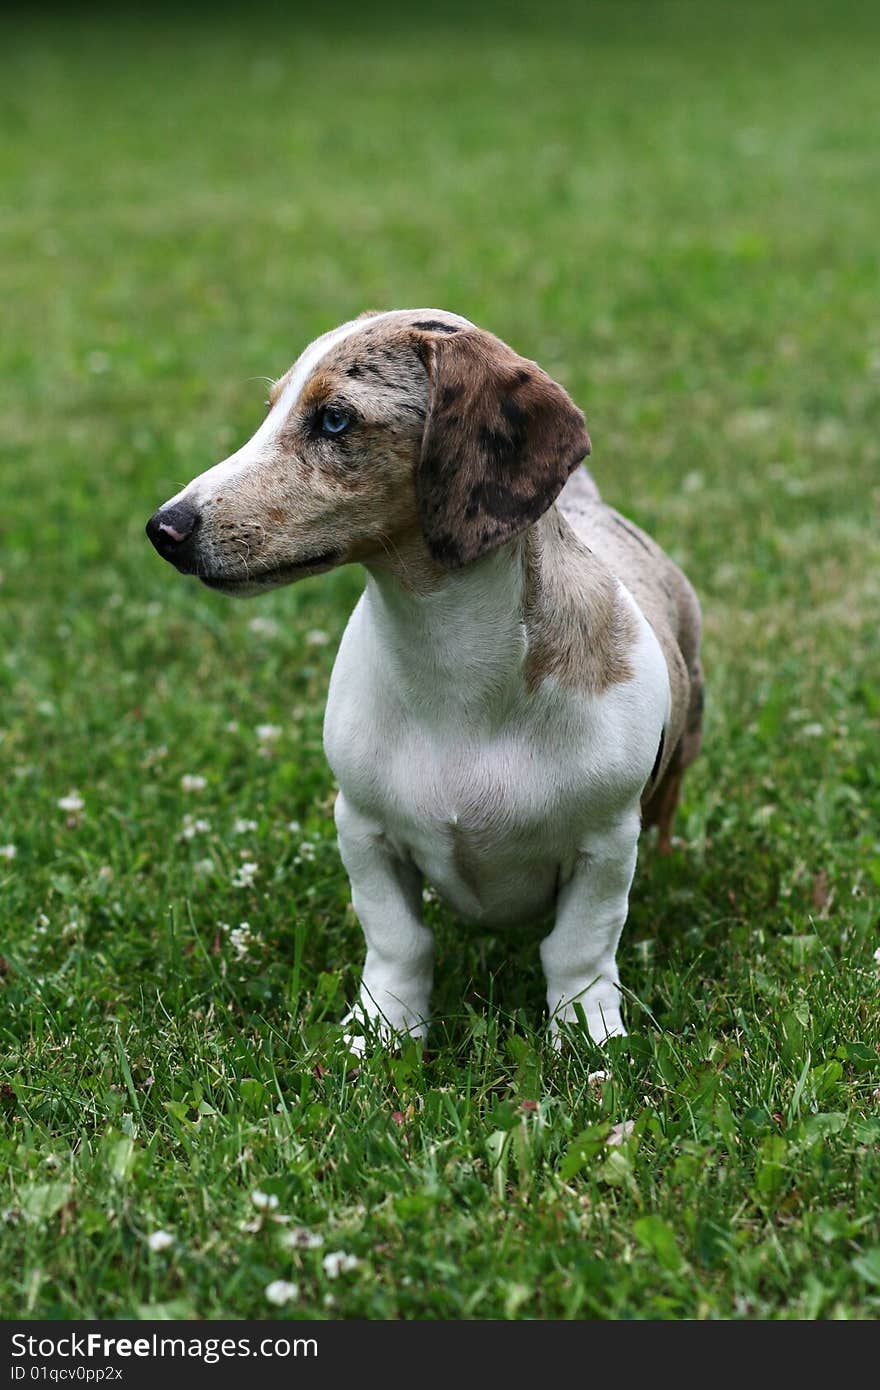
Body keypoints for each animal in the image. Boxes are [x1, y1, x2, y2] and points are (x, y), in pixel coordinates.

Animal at [147, 309, 703, 1045]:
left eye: (333, 419)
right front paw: (382, 1032)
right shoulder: (363, 829)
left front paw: (586, 1036)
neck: (452, 670)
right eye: (271, 409)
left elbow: (578, 949)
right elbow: (399, 941)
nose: (164, 529)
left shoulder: (604, 845)